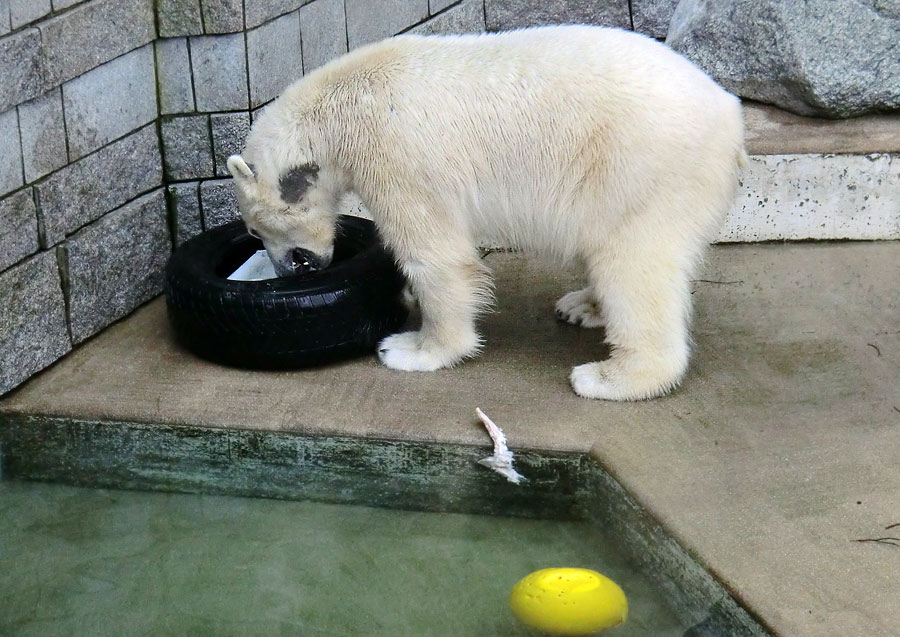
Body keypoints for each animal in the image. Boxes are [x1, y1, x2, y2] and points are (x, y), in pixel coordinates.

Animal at [227, 28, 744, 402]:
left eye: (254, 228)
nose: (295, 270)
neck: (343, 105)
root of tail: (730, 114)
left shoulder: (397, 156)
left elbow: (436, 255)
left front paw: (412, 349)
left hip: (643, 168)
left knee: (633, 264)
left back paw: (610, 378)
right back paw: (582, 306)